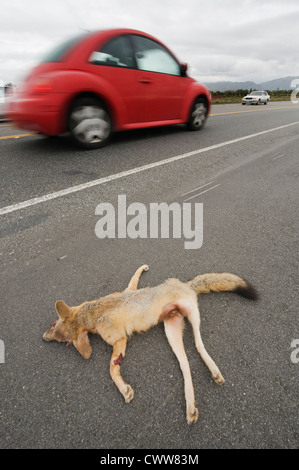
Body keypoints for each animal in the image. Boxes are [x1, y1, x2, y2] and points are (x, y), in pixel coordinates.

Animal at [43, 264, 258, 426]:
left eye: (54, 328)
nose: (44, 337)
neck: (92, 314)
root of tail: (184, 284)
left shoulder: (120, 340)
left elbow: (111, 370)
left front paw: (123, 389)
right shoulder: (124, 310)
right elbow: (114, 367)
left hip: (192, 316)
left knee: (198, 345)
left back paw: (213, 371)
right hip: (171, 333)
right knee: (186, 366)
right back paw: (190, 407)